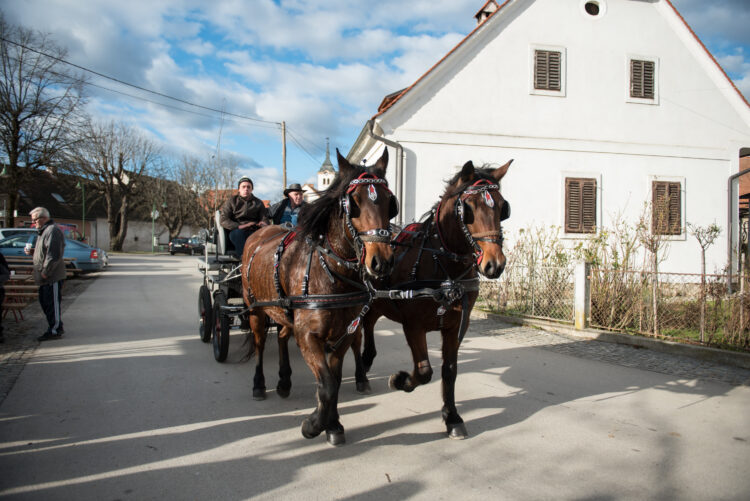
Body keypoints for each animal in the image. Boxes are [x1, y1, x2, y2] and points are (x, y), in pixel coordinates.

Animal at [241, 148, 400, 446]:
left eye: (390, 202)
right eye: (353, 203)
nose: (381, 262)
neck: (331, 273)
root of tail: (260, 232)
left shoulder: (343, 334)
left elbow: (334, 382)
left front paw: (333, 424)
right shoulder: (308, 335)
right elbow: (326, 385)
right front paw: (314, 424)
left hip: (285, 313)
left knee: (281, 336)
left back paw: (284, 381)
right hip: (255, 309)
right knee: (258, 344)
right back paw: (258, 384)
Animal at [356, 159, 516, 438]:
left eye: (502, 207)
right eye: (469, 208)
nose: (494, 264)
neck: (443, 265)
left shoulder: (457, 325)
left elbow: (449, 370)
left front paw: (452, 417)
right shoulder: (413, 326)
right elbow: (424, 371)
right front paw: (401, 380)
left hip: (378, 304)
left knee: (369, 326)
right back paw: (360, 373)